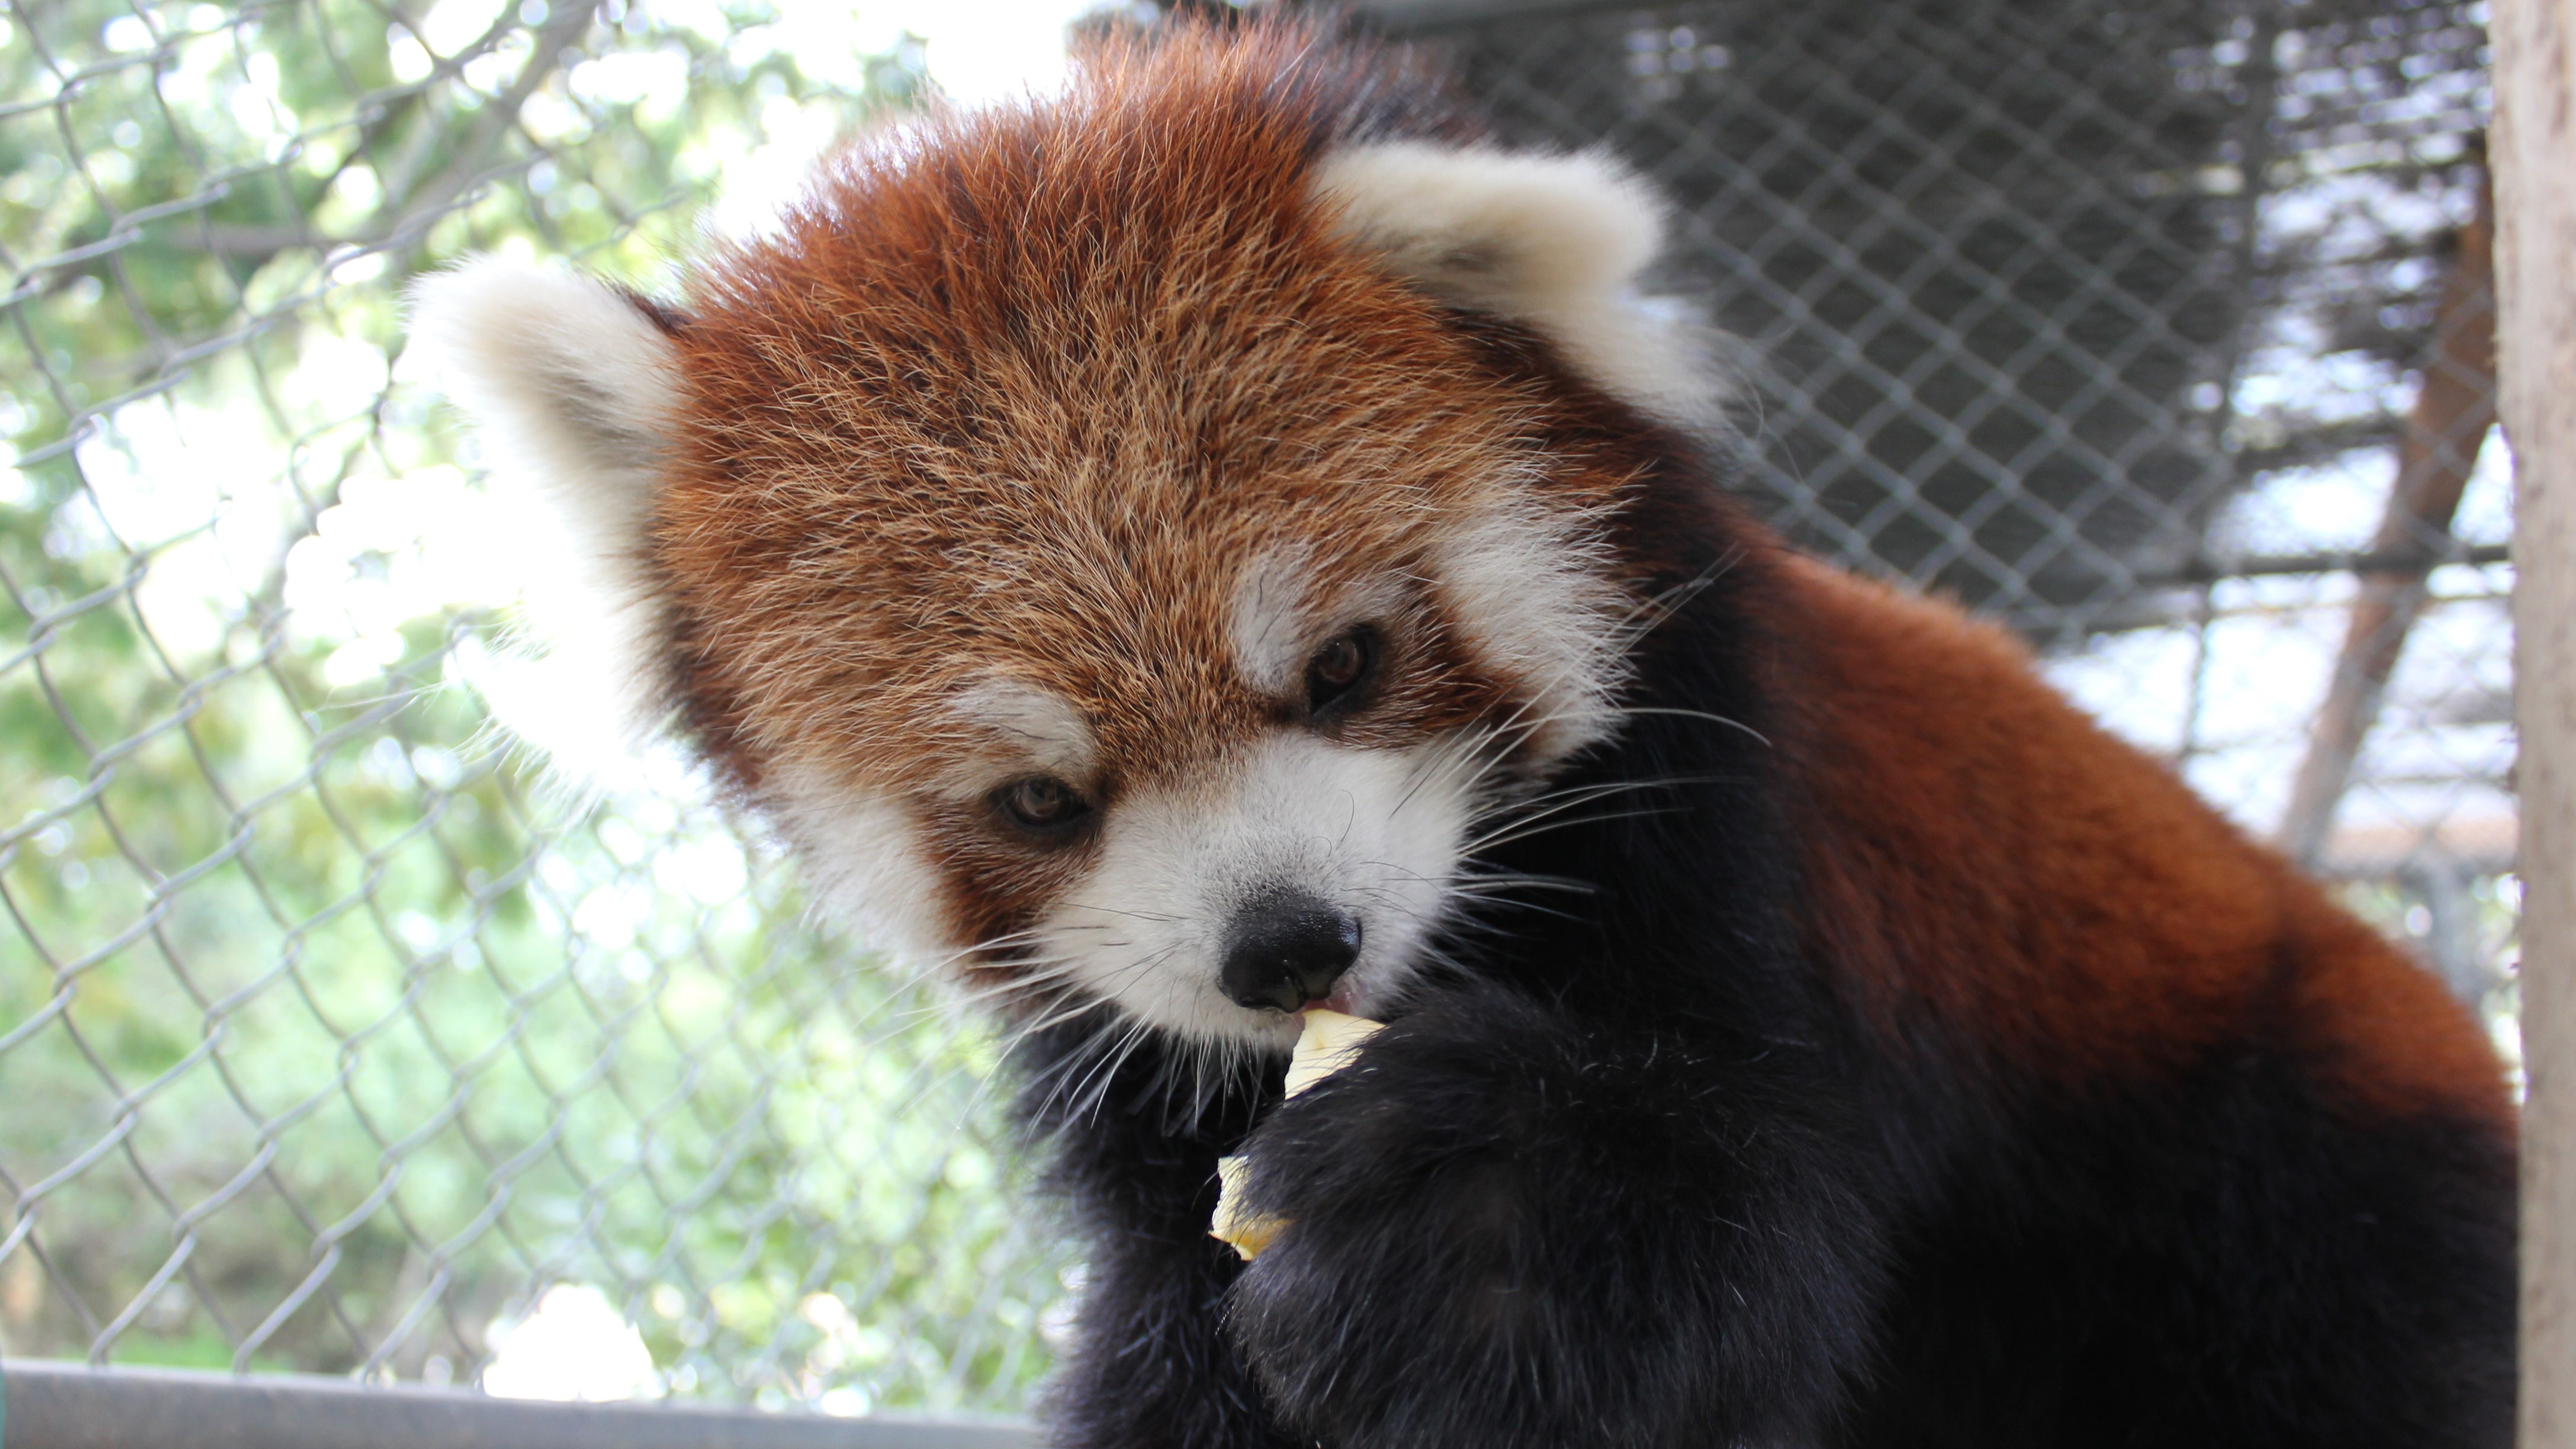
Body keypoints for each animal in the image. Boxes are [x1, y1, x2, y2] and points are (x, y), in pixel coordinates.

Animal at [417, 14, 2514, 1443]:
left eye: (1343, 666)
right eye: (1033, 799)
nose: (1286, 946)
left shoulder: (1729, 813)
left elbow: (1745, 1229)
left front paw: (1472, 1197)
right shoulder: (1136, 1058)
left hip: (2273, 1170)